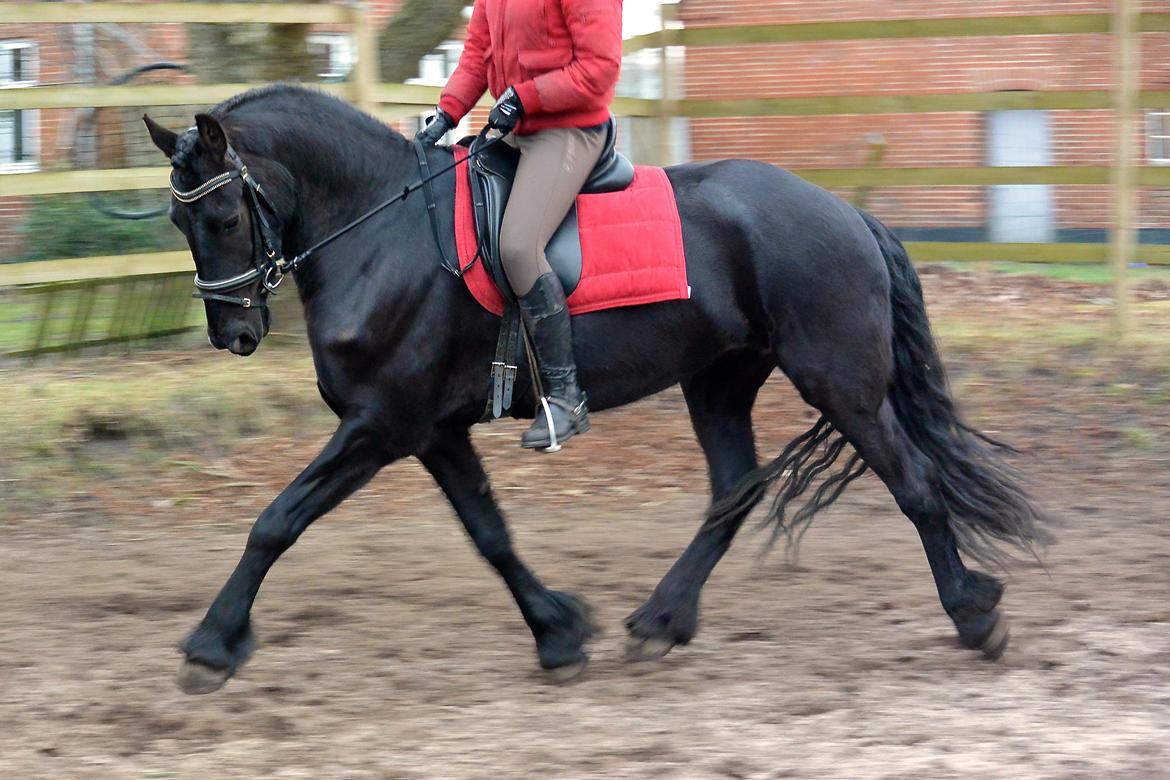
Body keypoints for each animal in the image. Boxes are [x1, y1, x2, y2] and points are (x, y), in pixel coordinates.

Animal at [141, 87, 1048, 696]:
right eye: (182, 223)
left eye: (223, 218)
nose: (233, 335)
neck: (382, 233)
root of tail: (847, 213)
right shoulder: (433, 432)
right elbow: (491, 535)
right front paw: (560, 634)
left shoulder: (381, 426)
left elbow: (276, 522)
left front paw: (212, 646)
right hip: (718, 379)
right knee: (735, 491)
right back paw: (658, 624)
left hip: (841, 381)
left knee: (915, 483)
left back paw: (974, 614)